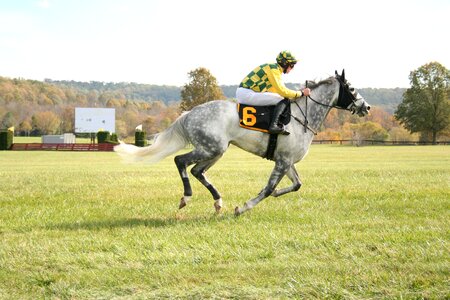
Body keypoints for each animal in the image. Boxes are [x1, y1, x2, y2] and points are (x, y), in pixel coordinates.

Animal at [115, 70, 370, 216]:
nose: (366, 107)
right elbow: (268, 189)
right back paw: (186, 197)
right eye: (351, 88)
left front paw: (275, 195)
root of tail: (190, 113)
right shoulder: (282, 161)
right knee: (181, 161)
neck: (302, 116)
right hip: (211, 148)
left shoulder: (286, 161)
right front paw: (243, 207)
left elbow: (297, 185)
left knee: (197, 171)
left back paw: (218, 202)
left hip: (215, 151)